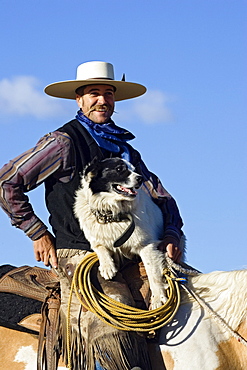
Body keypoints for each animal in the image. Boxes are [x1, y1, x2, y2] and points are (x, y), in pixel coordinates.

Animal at [73, 158, 169, 308]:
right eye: (119, 169)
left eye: (134, 169)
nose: (140, 179)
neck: (112, 214)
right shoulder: (95, 238)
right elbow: (100, 247)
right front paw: (107, 267)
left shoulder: (146, 245)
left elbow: (152, 273)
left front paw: (158, 298)